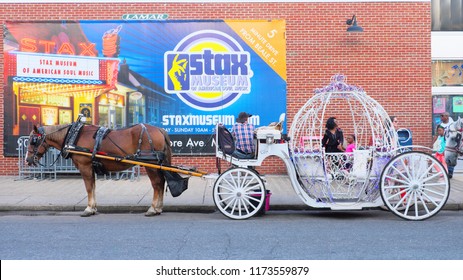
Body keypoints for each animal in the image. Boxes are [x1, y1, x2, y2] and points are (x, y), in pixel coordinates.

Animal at [24, 122, 172, 217]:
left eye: (33, 140)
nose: (27, 159)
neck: (74, 136)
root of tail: (159, 130)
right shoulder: (91, 168)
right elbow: (93, 187)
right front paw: (94, 207)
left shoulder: (85, 167)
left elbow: (89, 188)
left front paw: (89, 209)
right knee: (161, 182)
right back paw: (158, 208)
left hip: (150, 165)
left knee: (157, 184)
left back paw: (153, 209)